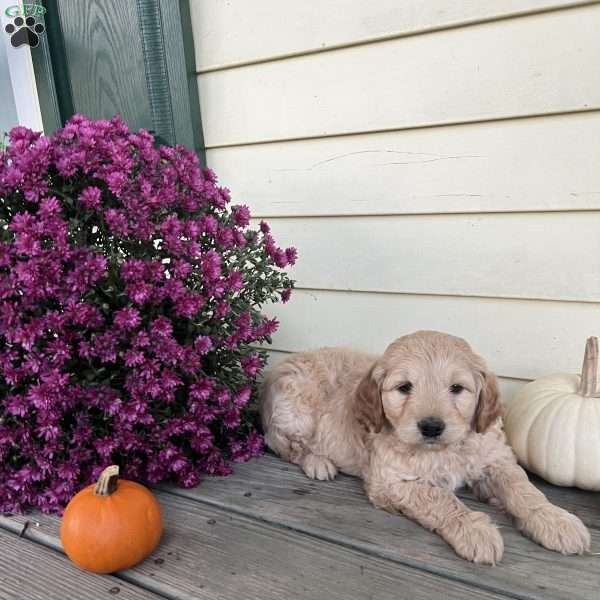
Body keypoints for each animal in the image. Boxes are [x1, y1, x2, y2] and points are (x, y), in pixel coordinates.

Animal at [258, 330, 592, 564]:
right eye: (404, 387)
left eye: (457, 388)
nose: (431, 427)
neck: (444, 449)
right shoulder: (391, 480)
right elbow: (440, 498)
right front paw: (474, 529)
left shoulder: (496, 459)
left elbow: (524, 489)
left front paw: (556, 521)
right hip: (295, 408)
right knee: (283, 445)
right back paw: (318, 462)